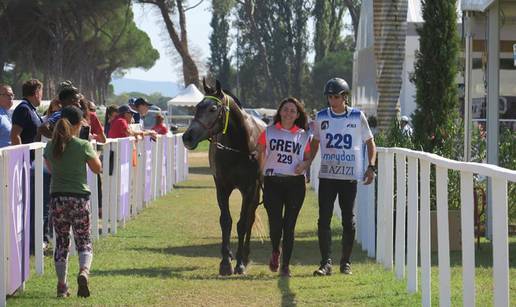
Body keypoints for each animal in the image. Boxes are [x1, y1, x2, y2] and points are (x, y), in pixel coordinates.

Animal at [182, 79, 266, 276]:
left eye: (213, 108)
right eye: (197, 107)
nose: (187, 137)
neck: (238, 147)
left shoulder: (249, 188)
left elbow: (242, 223)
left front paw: (240, 263)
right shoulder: (221, 186)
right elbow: (225, 221)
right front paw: (225, 262)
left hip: (256, 191)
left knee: (250, 218)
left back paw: (246, 256)